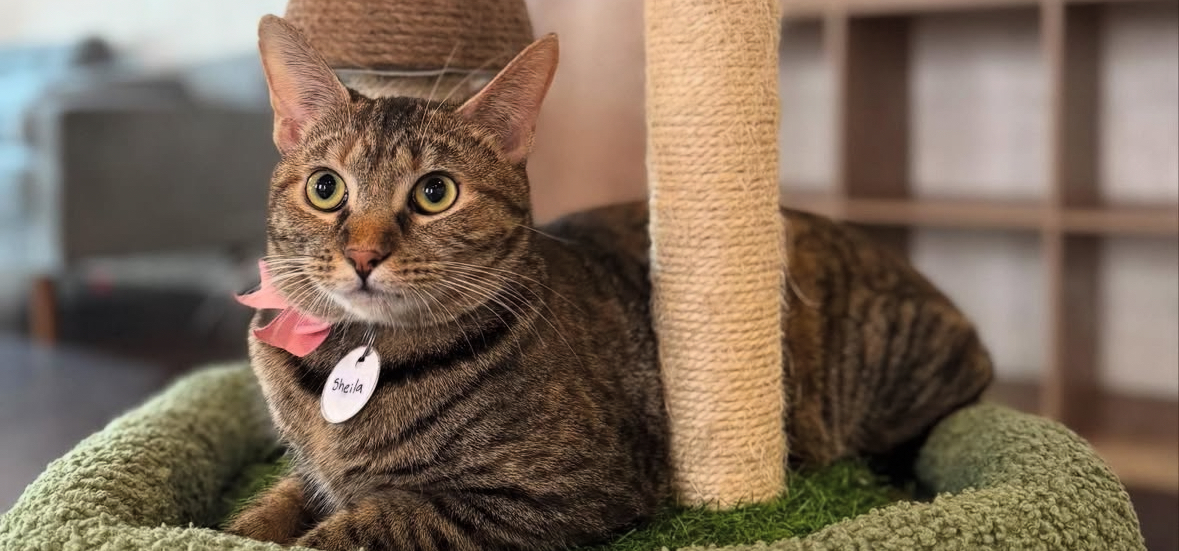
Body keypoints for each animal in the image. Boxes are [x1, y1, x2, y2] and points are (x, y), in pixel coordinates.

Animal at [226, 14, 993, 551]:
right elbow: (267, 508)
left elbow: (368, 524)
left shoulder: (553, 493)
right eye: (325, 188)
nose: (362, 253)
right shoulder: (307, 474)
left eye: (435, 192)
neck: (351, 355)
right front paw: (241, 525)